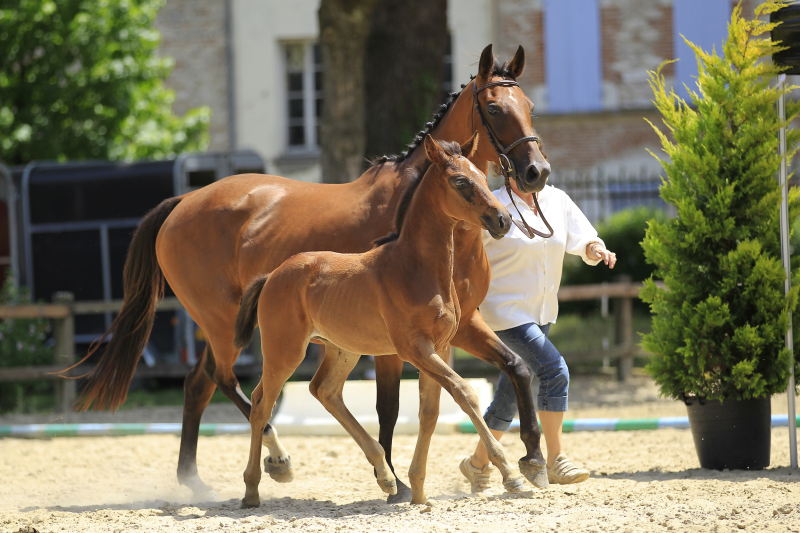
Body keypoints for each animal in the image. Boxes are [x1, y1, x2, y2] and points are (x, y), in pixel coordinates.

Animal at [231, 134, 520, 508]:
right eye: (460, 182)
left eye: (485, 177)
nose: (503, 220)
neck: (415, 268)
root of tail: (272, 275)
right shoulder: (415, 349)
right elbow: (464, 392)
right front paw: (510, 474)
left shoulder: (438, 348)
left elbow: (430, 412)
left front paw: (418, 491)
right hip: (285, 351)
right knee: (261, 406)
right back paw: (253, 489)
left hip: (344, 349)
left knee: (324, 390)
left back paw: (385, 476)